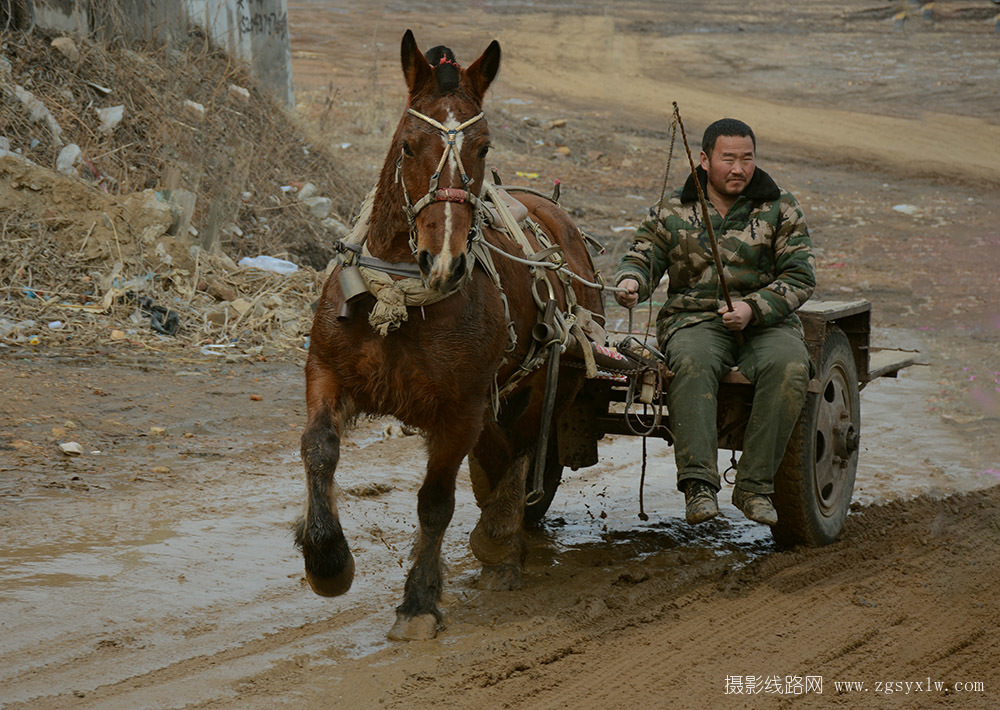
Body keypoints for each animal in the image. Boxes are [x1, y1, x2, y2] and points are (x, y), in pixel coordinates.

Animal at [292, 27, 600, 644]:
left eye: (482, 147)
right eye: (409, 145)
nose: (445, 261)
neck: (401, 292)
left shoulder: (459, 408)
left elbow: (435, 501)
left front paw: (419, 601)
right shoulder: (327, 373)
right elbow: (318, 449)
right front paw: (327, 559)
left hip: (550, 384)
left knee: (522, 450)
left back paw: (503, 537)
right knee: (502, 452)